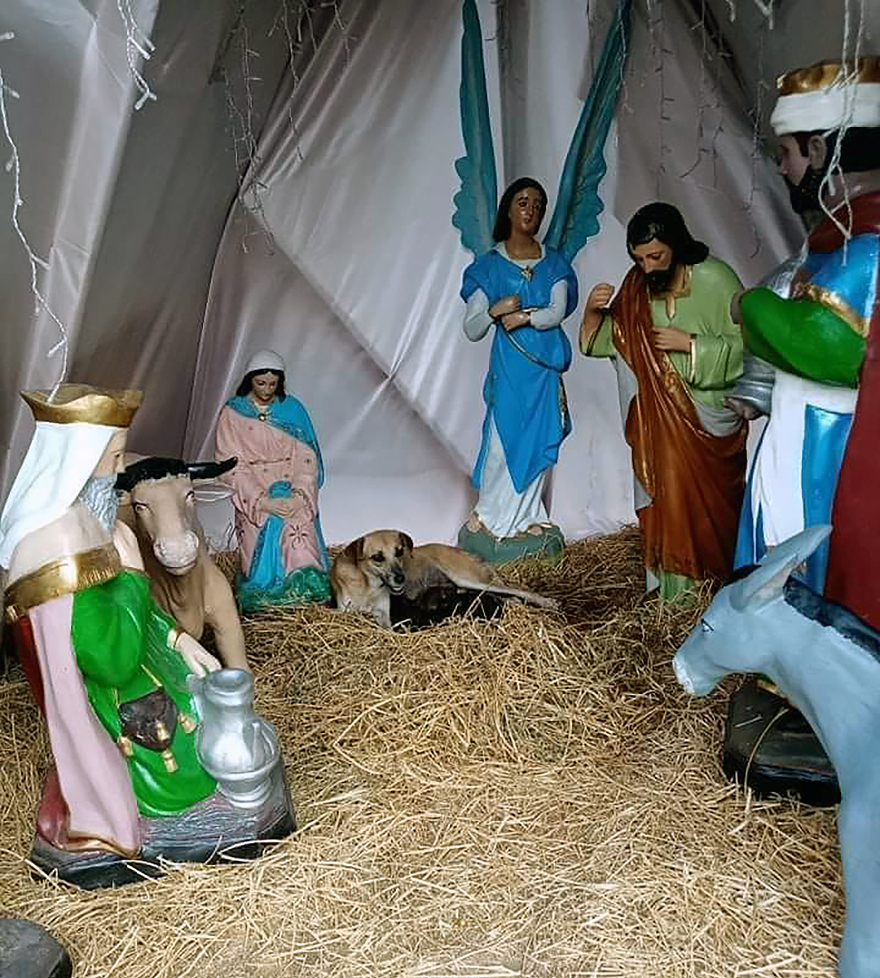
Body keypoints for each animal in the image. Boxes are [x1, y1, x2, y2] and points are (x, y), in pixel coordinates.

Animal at [330, 528, 556, 624]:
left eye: (399, 551)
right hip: (469, 586)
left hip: (468, 578)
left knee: (516, 591)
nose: (401, 579)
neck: (367, 585)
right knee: (508, 597)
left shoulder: (385, 615)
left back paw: (546, 602)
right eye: (377, 557)